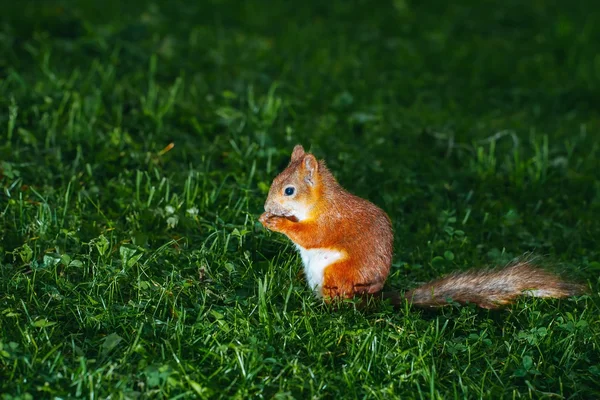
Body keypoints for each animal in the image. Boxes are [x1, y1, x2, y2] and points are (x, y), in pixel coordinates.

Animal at [258, 145, 584, 310]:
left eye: (288, 191)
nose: (266, 206)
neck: (320, 203)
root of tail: (372, 298)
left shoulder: (330, 222)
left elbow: (311, 235)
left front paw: (276, 223)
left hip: (338, 274)